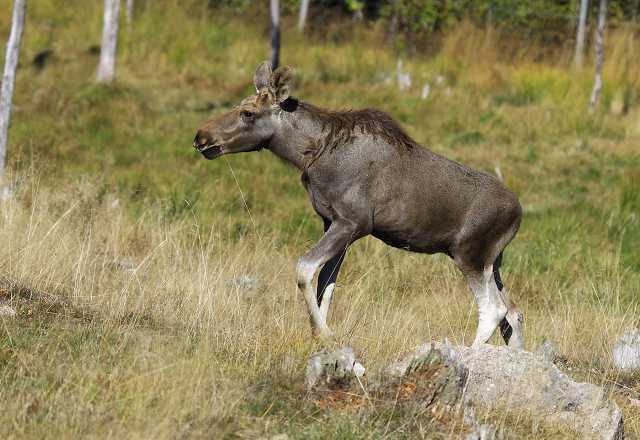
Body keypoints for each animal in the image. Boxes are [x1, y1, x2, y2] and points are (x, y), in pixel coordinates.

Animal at [195, 62, 524, 350]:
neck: (309, 155)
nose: (201, 137)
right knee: (513, 311)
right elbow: (325, 286)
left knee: (494, 310)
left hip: (469, 254)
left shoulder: (353, 222)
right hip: (493, 261)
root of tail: (518, 215)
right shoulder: (331, 222)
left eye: (247, 113)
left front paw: (325, 335)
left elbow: (304, 269)